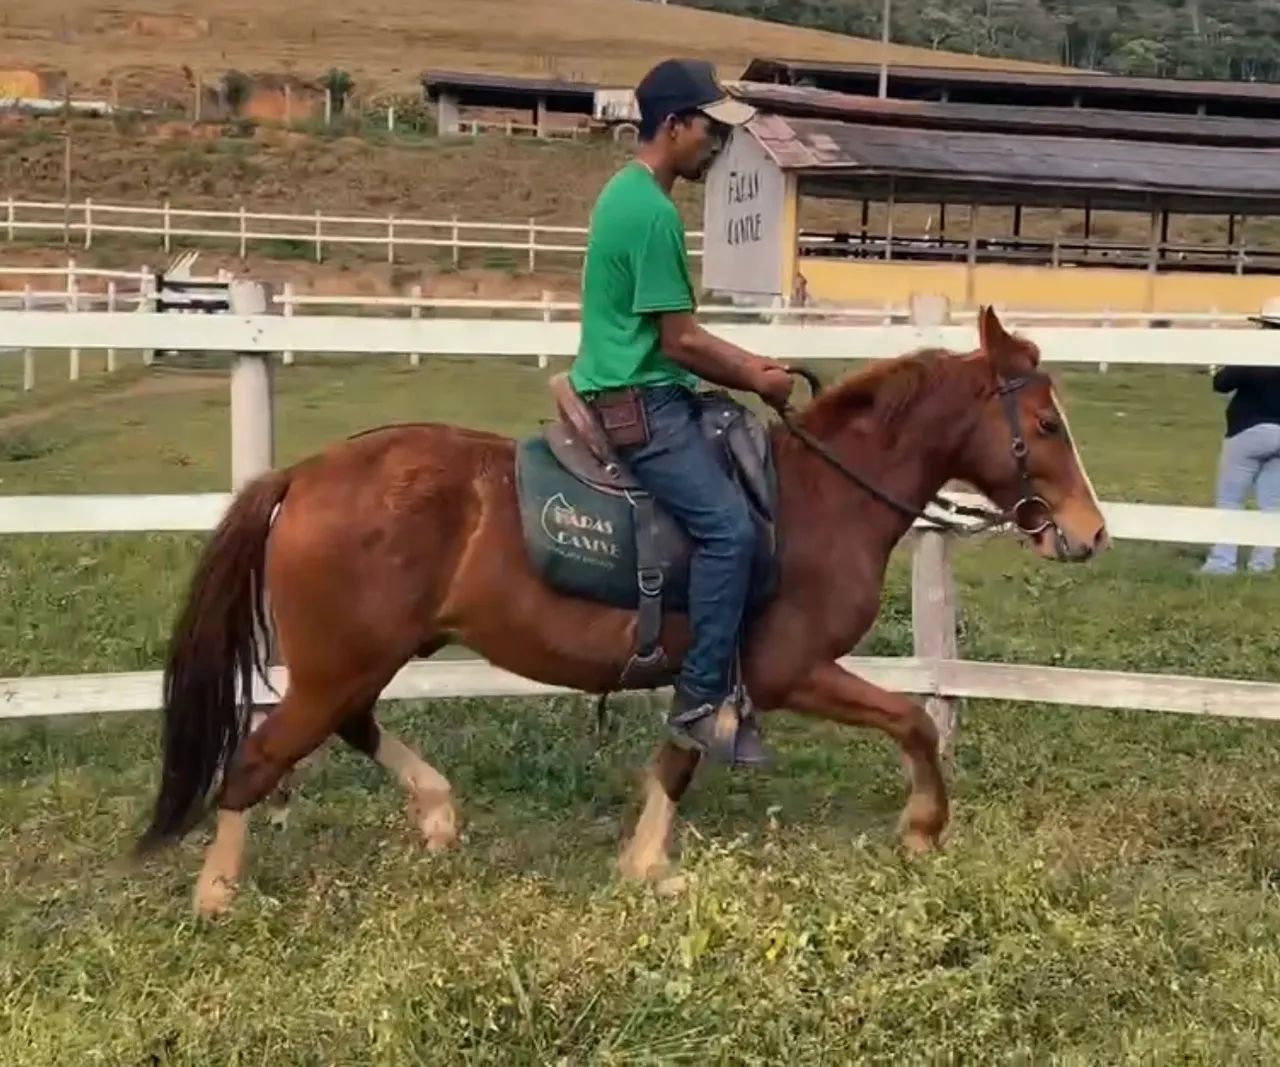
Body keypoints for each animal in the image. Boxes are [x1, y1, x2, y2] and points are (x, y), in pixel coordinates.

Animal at [136, 306, 1108, 917]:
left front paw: (645, 864)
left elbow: (678, 757)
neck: (819, 498)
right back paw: (217, 892)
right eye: (1047, 425)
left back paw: (437, 810)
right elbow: (913, 719)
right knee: (256, 760)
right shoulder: (787, 671)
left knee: (349, 726)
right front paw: (923, 827)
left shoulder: (717, 671)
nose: (1090, 532)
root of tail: (300, 474)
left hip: (357, 660)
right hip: (340, 662)